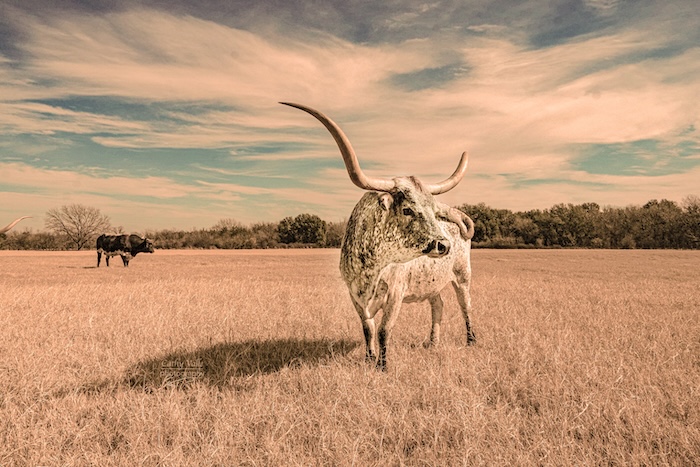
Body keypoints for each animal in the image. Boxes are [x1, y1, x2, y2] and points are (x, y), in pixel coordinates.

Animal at [284, 103, 476, 372]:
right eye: (407, 209)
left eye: (433, 210)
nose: (443, 244)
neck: (371, 268)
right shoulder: (354, 294)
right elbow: (368, 328)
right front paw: (368, 358)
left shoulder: (395, 292)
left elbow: (384, 329)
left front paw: (382, 366)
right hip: (431, 281)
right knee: (438, 304)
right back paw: (432, 342)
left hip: (462, 275)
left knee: (465, 305)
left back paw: (471, 340)